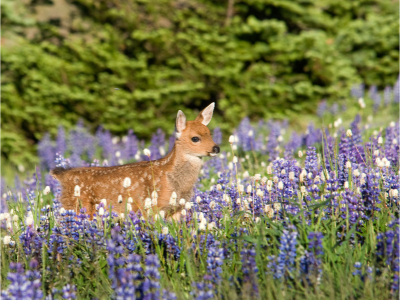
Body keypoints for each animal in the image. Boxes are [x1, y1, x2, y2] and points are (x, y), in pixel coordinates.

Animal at [50, 103, 220, 220]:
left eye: (210, 134)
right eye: (195, 138)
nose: (216, 148)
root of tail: (62, 174)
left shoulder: (177, 208)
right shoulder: (156, 206)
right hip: (77, 206)